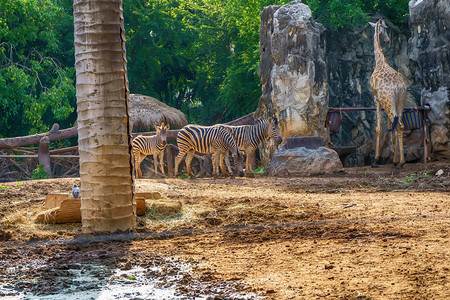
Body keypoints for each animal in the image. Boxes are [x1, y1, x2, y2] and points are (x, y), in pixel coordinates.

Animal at [370, 19, 408, 168]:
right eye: (385, 28)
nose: (387, 40)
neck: (380, 61)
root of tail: (397, 86)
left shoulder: (376, 99)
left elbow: (379, 128)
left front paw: (376, 159)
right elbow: (388, 127)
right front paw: (392, 158)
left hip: (388, 102)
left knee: (398, 125)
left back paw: (401, 162)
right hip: (400, 101)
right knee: (399, 125)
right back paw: (398, 161)